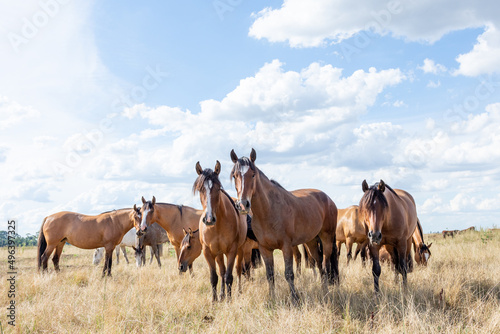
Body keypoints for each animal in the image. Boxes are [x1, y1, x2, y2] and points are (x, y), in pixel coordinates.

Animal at [191, 160, 248, 302]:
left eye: (217, 189)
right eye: (200, 189)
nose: (209, 219)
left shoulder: (232, 250)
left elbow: (229, 276)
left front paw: (229, 300)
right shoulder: (208, 251)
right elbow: (214, 277)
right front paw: (214, 300)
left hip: (239, 250)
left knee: (237, 270)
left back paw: (237, 292)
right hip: (218, 253)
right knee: (222, 271)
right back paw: (222, 295)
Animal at [230, 149, 340, 302]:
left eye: (253, 174)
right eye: (235, 176)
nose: (242, 205)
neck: (269, 210)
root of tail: (328, 199)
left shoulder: (286, 247)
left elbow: (289, 274)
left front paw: (295, 298)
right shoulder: (264, 249)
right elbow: (270, 275)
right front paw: (272, 299)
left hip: (327, 239)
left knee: (326, 264)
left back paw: (326, 292)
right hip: (311, 241)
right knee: (319, 264)